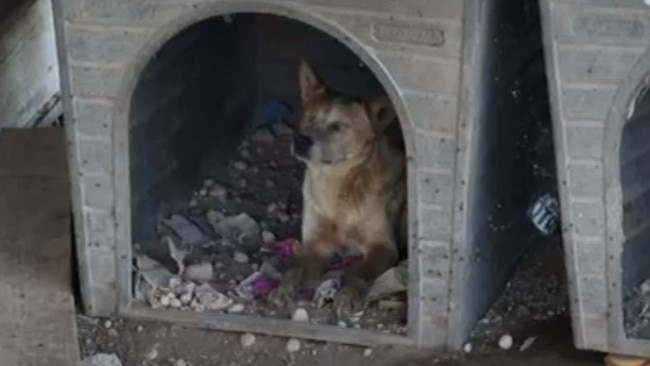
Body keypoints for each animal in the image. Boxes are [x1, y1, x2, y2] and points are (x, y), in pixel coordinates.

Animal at [268, 60, 404, 318]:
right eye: (310, 116)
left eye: (338, 127)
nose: (301, 140)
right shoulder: (315, 244)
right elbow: (296, 267)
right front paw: (284, 286)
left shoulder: (382, 247)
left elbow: (358, 271)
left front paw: (348, 295)